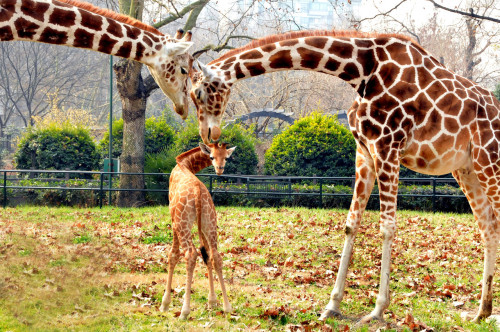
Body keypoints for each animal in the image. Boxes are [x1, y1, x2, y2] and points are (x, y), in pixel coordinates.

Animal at [161, 142, 237, 320]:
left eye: (226, 157)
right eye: (212, 156)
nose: (220, 168)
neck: (184, 164)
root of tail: (197, 193)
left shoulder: (173, 221)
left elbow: (172, 255)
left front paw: (165, 303)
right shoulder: (201, 225)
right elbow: (207, 256)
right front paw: (212, 301)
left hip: (183, 224)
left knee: (190, 254)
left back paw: (184, 311)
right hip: (210, 221)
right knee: (215, 255)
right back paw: (227, 307)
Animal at [190, 29, 500, 322]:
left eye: (199, 93)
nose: (208, 134)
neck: (361, 70)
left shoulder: (388, 147)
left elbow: (387, 227)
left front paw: (377, 310)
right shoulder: (364, 152)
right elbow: (351, 224)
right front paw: (332, 305)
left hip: (490, 162)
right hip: (467, 170)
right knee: (489, 226)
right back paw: (481, 311)